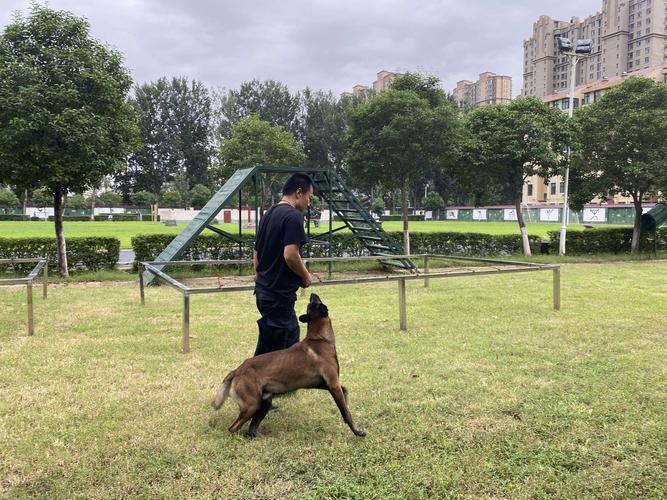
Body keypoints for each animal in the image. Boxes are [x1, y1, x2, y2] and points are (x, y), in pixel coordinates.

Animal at [211, 292, 366, 438]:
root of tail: (237, 370)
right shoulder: (333, 384)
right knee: (233, 428)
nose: (312, 294)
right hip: (252, 405)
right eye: (315, 302)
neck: (319, 338)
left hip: (263, 403)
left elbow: (345, 391)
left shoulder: (324, 384)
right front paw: (357, 431)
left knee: (251, 430)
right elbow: (346, 412)